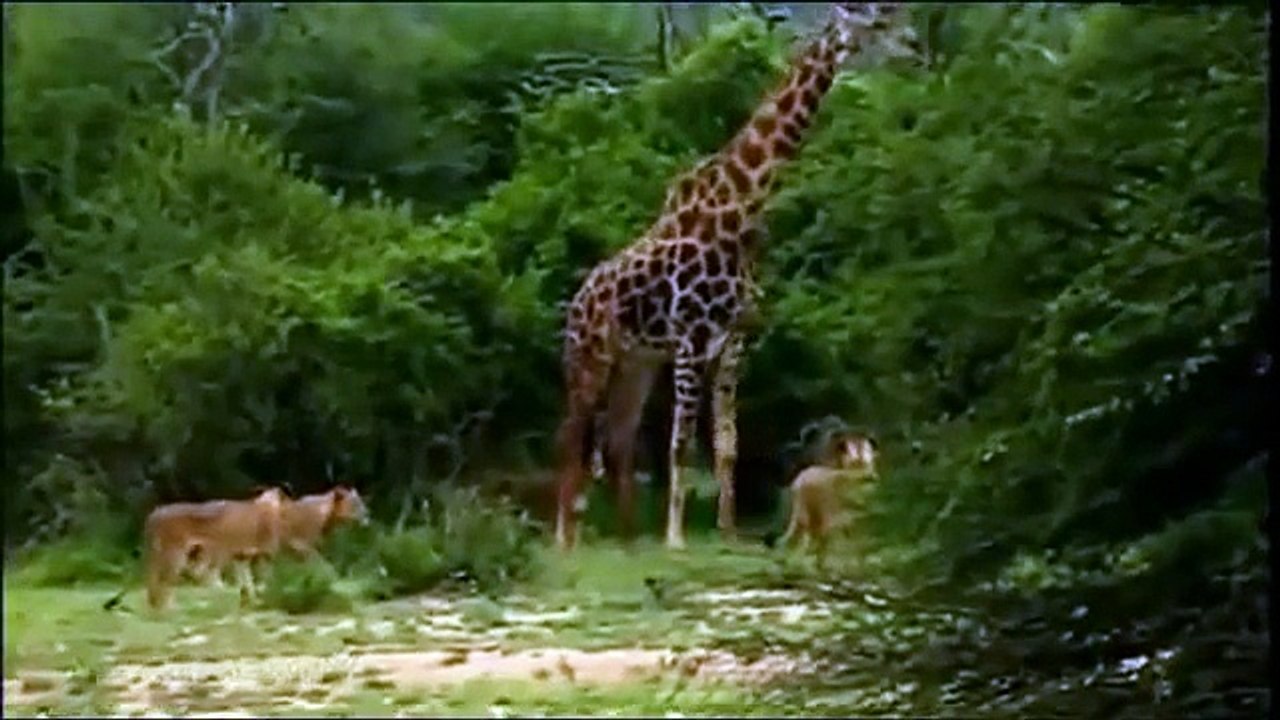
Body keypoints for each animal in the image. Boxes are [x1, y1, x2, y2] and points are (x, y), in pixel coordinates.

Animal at [143, 486, 287, 611]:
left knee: (158, 583)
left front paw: (248, 602)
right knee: (165, 582)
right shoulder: (264, 555)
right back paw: (169, 609)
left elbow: (247, 582)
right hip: (175, 556)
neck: (267, 505)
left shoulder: (241, 556)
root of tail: (156, 512)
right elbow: (263, 581)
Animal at [554, 3, 920, 551]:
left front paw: (727, 532)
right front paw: (676, 538)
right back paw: (566, 536)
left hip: (637, 362)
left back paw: (628, 535)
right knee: (573, 432)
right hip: (590, 355)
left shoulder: (733, 339)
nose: (918, 49)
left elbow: (727, 442)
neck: (742, 206)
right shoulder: (691, 337)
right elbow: (681, 443)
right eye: (877, 23)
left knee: (618, 437)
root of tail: (578, 299)